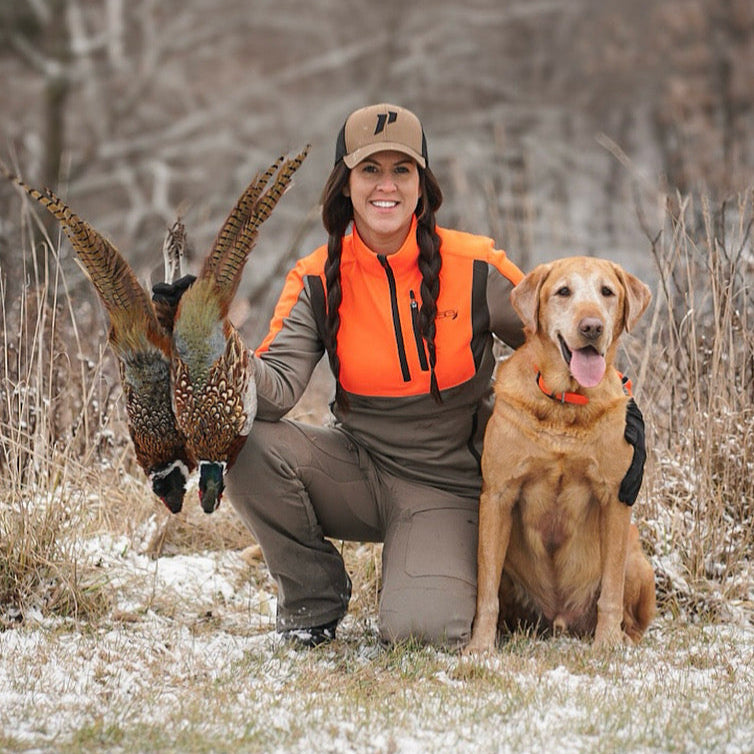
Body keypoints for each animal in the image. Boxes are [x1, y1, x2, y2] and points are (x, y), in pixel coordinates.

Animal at [465, 257, 656, 653]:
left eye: (607, 292)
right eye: (563, 292)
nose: (592, 327)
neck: (565, 405)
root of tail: (560, 619)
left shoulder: (615, 499)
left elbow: (611, 590)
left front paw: (607, 645)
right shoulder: (497, 496)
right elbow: (485, 592)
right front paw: (480, 648)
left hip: (637, 561)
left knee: (629, 612)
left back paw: (621, 637)